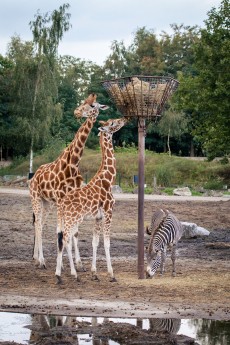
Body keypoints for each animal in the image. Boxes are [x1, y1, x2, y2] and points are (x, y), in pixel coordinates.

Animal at [29, 92, 108, 268]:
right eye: (84, 101)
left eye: (92, 105)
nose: (77, 112)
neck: (73, 163)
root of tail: (33, 175)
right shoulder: (60, 199)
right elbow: (61, 230)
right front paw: (65, 263)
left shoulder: (71, 200)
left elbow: (74, 231)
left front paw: (78, 263)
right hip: (36, 198)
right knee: (38, 224)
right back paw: (41, 260)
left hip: (47, 202)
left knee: (40, 224)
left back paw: (36, 257)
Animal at [55, 117, 127, 284]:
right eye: (112, 123)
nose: (124, 119)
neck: (109, 180)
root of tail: (61, 204)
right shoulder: (108, 212)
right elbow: (106, 243)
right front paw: (111, 274)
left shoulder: (97, 217)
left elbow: (95, 242)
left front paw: (94, 273)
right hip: (72, 218)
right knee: (66, 239)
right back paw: (70, 274)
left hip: (65, 219)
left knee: (62, 239)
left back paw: (62, 275)